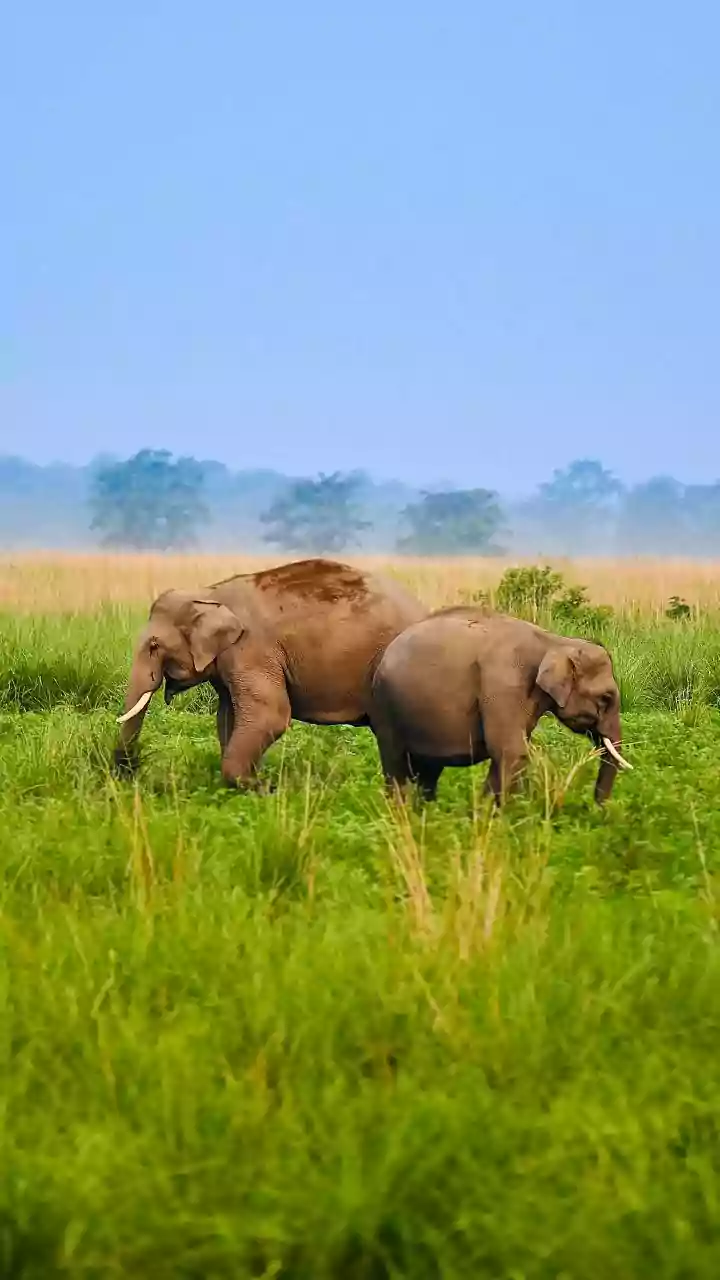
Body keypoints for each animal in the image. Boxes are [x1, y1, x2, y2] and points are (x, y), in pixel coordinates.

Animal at [114, 557, 427, 788]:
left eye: (154, 646)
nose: (129, 772)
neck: (208, 594)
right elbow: (228, 716)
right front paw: (253, 781)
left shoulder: (252, 650)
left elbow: (270, 714)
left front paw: (260, 787)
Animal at [370, 607, 632, 806]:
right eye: (606, 698)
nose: (596, 809)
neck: (553, 642)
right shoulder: (503, 685)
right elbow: (512, 752)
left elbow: (508, 754)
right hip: (385, 709)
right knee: (395, 764)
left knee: (428, 771)